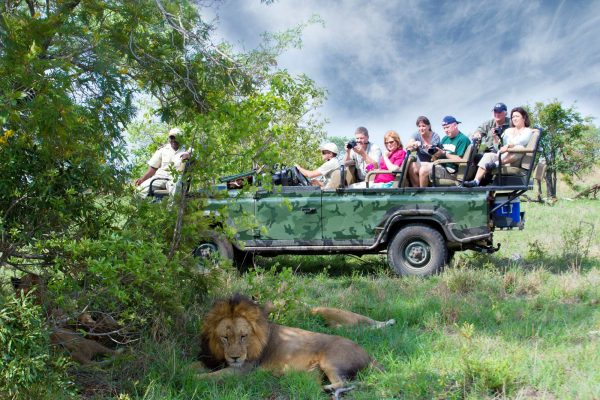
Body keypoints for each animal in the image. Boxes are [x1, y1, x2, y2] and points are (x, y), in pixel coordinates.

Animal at [198, 296, 384, 392]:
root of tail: (368, 354)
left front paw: (193, 379)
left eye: (243, 336)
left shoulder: (244, 369)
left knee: (348, 382)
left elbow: (211, 376)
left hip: (331, 361)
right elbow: (197, 366)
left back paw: (328, 388)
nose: (235, 358)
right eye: (225, 337)